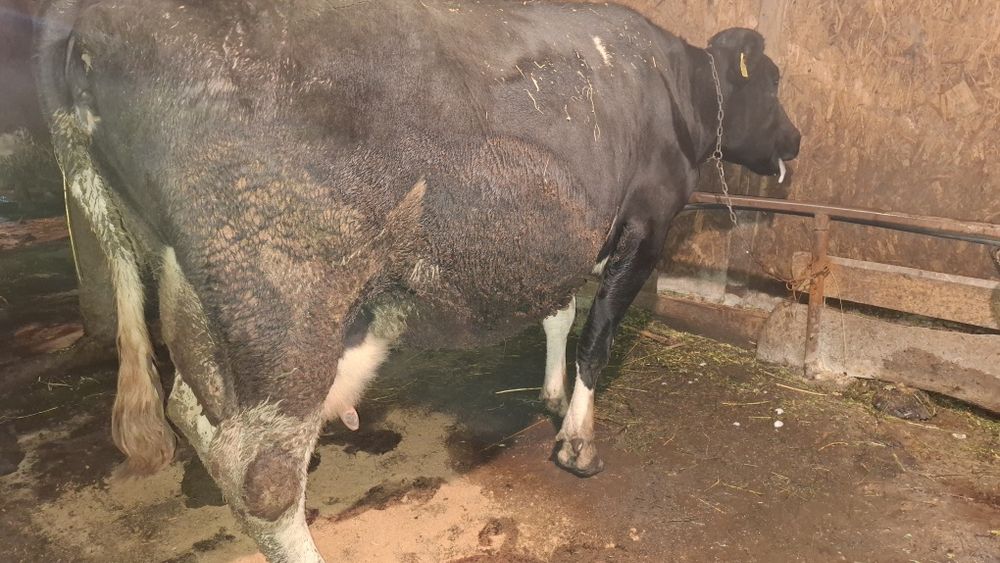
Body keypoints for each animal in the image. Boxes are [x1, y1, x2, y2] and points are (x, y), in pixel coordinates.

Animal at [35, 0, 800, 560]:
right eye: (770, 82)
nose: (795, 140)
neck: (671, 87)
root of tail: (86, 24)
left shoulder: (563, 237)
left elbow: (557, 313)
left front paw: (551, 396)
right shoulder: (646, 222)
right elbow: (597, 338)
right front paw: (577, 441)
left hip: (192, 288)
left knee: (193, 411)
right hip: (284, 300)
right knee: (260, 477)